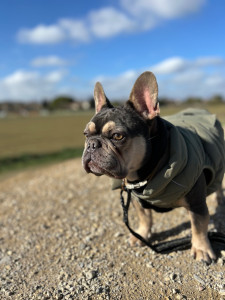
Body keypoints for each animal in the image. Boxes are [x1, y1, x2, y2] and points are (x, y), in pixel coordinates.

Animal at [82, 70, 225, 262]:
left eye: (117, 136)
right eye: (86, 134)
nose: (92, 144)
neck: (146, 174)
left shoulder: (196, 204)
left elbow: (199, 226)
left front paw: (202, 248)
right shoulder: (137, 199)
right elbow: (145, 218)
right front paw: (142, 235)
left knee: (218, 184)